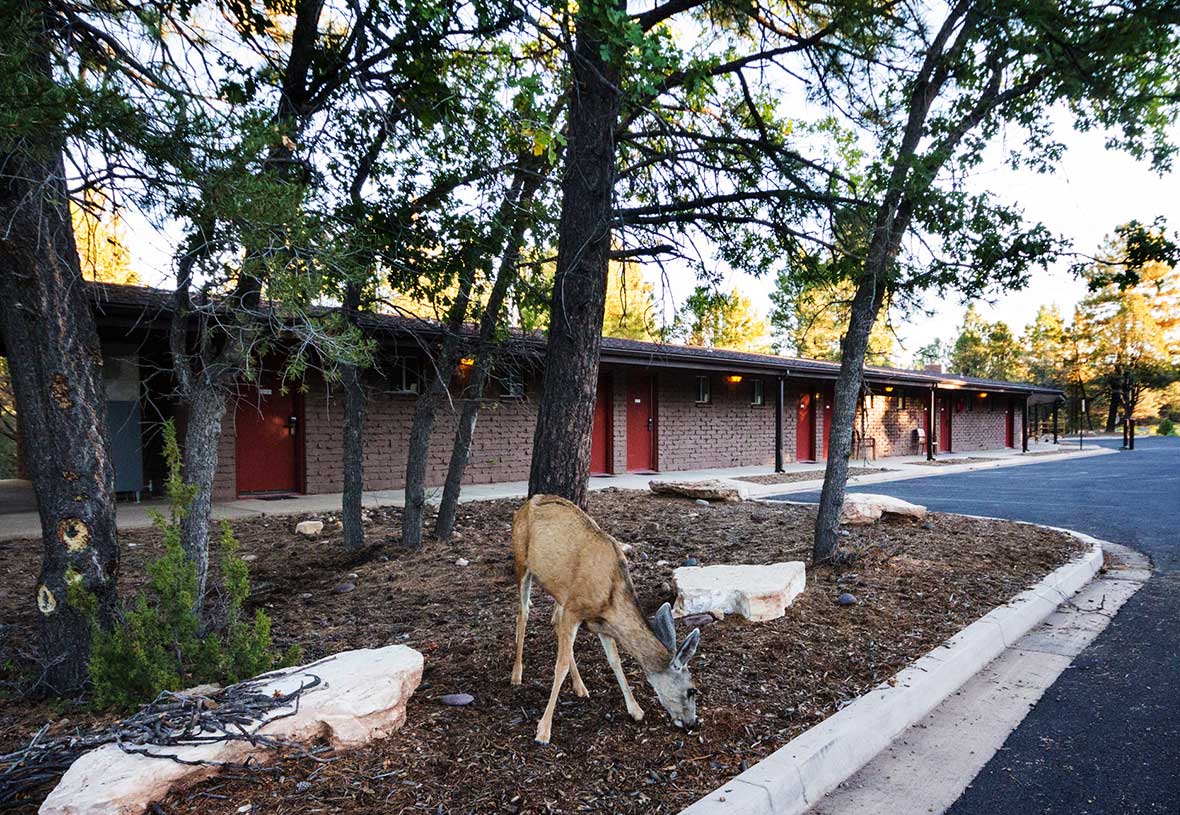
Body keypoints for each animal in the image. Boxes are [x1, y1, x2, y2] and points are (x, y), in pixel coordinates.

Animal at [510, 494, 701, 745]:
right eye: (692, 690)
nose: (692, 723)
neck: (610, 597)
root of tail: (526, 504)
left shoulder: (600, 622)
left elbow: (615, 661)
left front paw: (636, 710)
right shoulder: (575, 608)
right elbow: (560, 665)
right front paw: (543, 731)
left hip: (559, 590)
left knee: (553, 621)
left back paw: (580, 687)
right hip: (521, 562)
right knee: (523, 613)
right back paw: (516, 674)